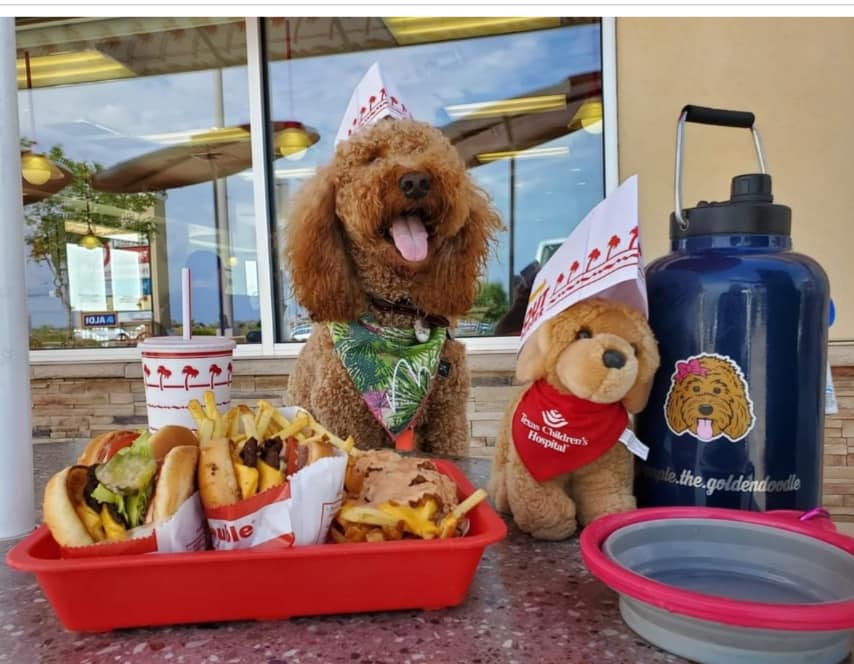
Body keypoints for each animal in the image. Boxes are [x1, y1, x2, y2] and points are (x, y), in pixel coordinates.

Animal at [284, 118, 504, 456]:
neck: (397, 310)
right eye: (371, 159)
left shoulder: (448, 417)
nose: (416, 181)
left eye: (428, 152)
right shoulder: (346, 422)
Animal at [488, 300, 664, 540]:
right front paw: (555, 525)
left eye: (635, 349)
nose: (615, 357)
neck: (579, 412)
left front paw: (611, 516)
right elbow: (541, 500)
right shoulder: (533, 468)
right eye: (583, 334)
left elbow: (604, 493)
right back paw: (504, 496)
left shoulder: (609, 467)